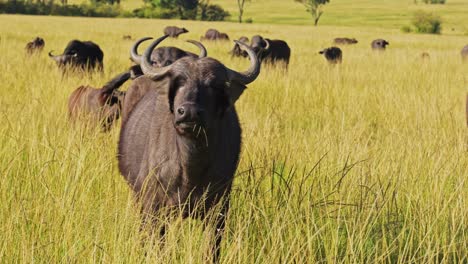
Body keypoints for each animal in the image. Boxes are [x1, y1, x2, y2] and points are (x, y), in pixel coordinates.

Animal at [119, 34, 262, 262]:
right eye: (179, 82)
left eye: (213, 85)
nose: (189, 112)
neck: (190, 165)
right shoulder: (154, 207)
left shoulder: (219, 209)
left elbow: (212, 249)